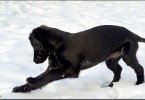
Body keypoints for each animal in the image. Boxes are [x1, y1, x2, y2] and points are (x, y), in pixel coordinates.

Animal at [12, 24, 145, 92]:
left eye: (35, 45)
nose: (35, 61)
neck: (57, 45)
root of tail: (134, 34)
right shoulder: (53, 66)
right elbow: (43, 77)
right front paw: (22, 88)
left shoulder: (71, 69)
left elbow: (48, 76)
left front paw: (32, 81)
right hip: (111, 60)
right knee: (118, 70)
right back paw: (111, 85)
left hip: (128, 55)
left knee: (139, 68)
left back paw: (139, 84)